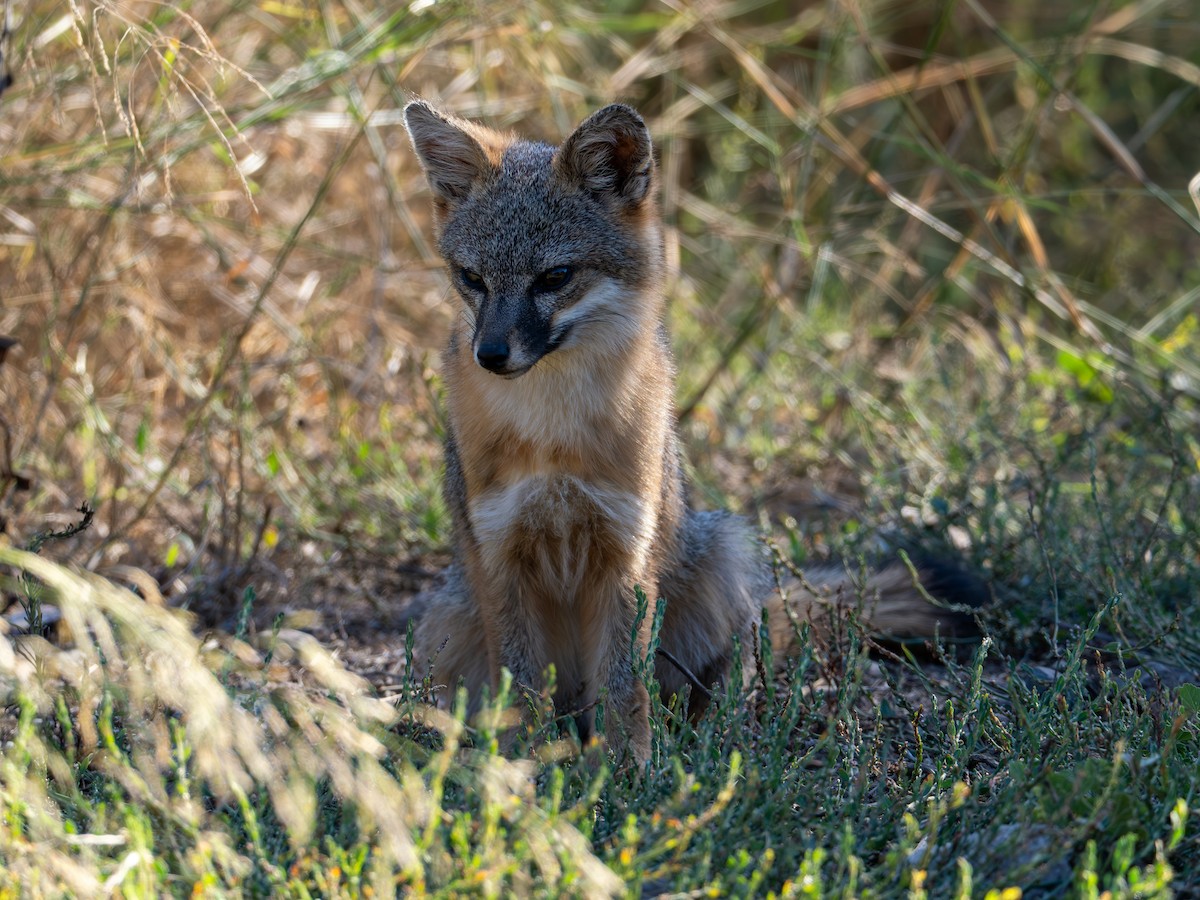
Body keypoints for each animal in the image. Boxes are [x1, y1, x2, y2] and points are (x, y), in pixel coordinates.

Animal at [402, 100, 977, 763]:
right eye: (472, 278)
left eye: (555, 277)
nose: (490, 355)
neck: (554, 433)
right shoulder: (498, 553)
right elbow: (520, 687)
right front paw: (523, 764)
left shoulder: (627, 552)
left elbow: (625, 686)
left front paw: (627, 768)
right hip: (448, 620)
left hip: (723, 557)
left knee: (705, 691)